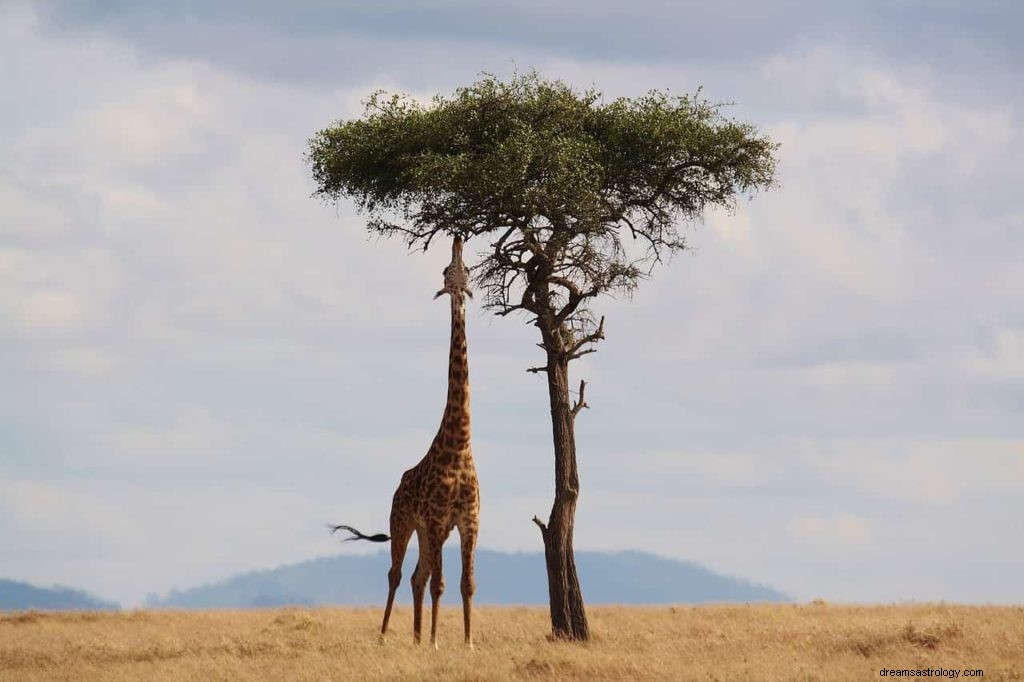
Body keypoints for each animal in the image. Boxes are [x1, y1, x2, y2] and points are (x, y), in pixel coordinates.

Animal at [333, 236, 481, 647]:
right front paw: (435, 642)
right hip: (402, 522)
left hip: (430, 532)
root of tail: (398, 486)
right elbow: (441, 584)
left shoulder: (468, 521)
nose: (458, 239)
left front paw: (467, 642)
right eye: (447, 270)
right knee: (398, 574)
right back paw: (387, 635)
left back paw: (415, 638)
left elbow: (466, 584)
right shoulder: (436, 519)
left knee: (418, 576)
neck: (459, 446)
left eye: (467, 269)